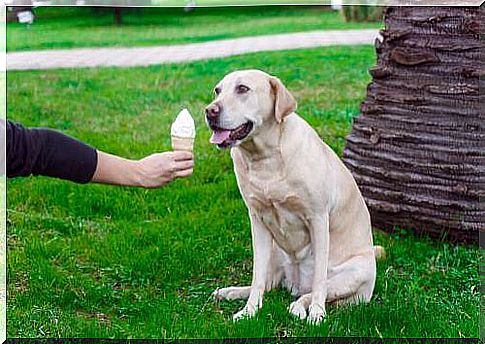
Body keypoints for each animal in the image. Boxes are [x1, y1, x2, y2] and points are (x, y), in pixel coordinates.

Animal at [204, 69, 382, 322]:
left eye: (242, 89)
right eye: (217, 91)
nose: (210, 111)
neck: (264, 157)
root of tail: (297, 286)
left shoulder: (318, 218)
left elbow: (320, 281)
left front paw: (317, 313)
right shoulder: (257, 220)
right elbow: (257, 277)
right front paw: (249, 310)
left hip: (356, 272)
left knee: (315, 290)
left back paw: (300, 306)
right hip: (275, 251)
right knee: (268, 283)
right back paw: (231, 292)